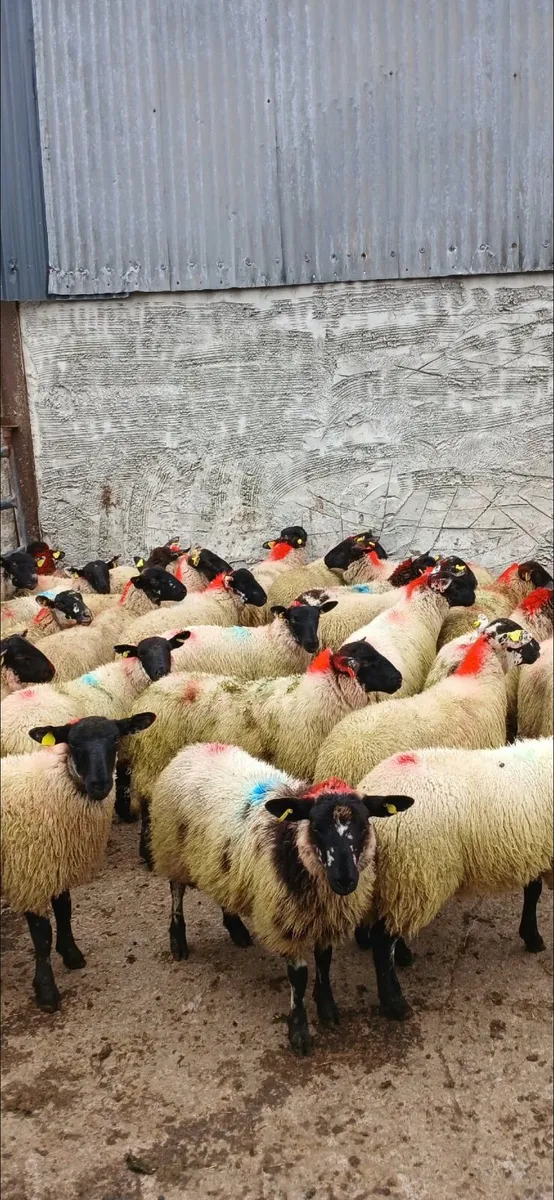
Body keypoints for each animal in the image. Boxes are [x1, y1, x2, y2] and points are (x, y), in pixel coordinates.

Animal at [1, 713, 155, 1011]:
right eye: (72, 743)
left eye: (115, 739)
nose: (100, 785)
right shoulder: (29, 872)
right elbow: (41, 935)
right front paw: (46, 991)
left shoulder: (58, 860)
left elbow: (65, 909)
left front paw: (71, 954)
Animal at [124, 639, 402, 864]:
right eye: (368, 661)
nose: (398, 678)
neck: (316, 699)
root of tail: (149, 692)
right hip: (154, 757)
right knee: (147, 803)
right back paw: (147, 854)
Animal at [149, 742, 413, 1053]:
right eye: (316, 826)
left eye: (364, 825)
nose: (345, 879)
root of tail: (194, 748)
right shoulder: (285, 918)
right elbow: (299, 977)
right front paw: (299, 1031)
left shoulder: (323, 917)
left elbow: (324, 960)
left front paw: (327, 1008)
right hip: (171, 847)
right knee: (176, 891)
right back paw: (178, 939)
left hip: (220, 860)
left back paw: (236, 928)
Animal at [357, 737, 553, 1020]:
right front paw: (534, 938)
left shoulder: (534, 850)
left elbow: (533, 890)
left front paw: (530, 935)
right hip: (415, 871)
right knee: (383, 942)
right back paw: (396, 1004)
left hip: (394, 877)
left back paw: (401, 955)